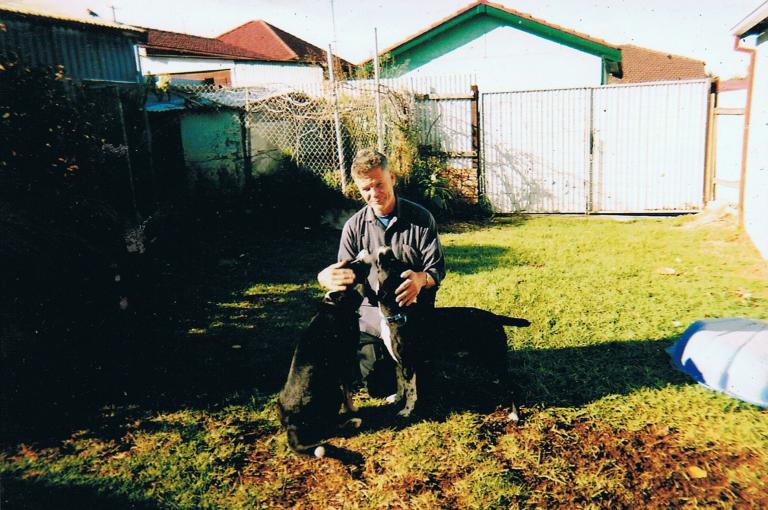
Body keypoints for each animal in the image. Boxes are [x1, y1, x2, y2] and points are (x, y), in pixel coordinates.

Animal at [278, 250, 374, 454]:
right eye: (356, 265)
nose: (364, 251)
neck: (337, 304)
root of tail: (292, 425)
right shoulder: (346, 361)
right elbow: (348, 392)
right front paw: (352, 410)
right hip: (332, 393)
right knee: (330, 428)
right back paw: (353, 421)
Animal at [376, 246, 532, 418]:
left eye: (390, 261)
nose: (387, 248)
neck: (399, 312)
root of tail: (496, 317)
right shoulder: (398, 363)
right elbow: (400, 384)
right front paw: (396, 398)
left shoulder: (408, 365)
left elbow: (410, 391)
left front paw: (407, 411)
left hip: (494, 358)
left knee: (513, 387)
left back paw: (515, 415)